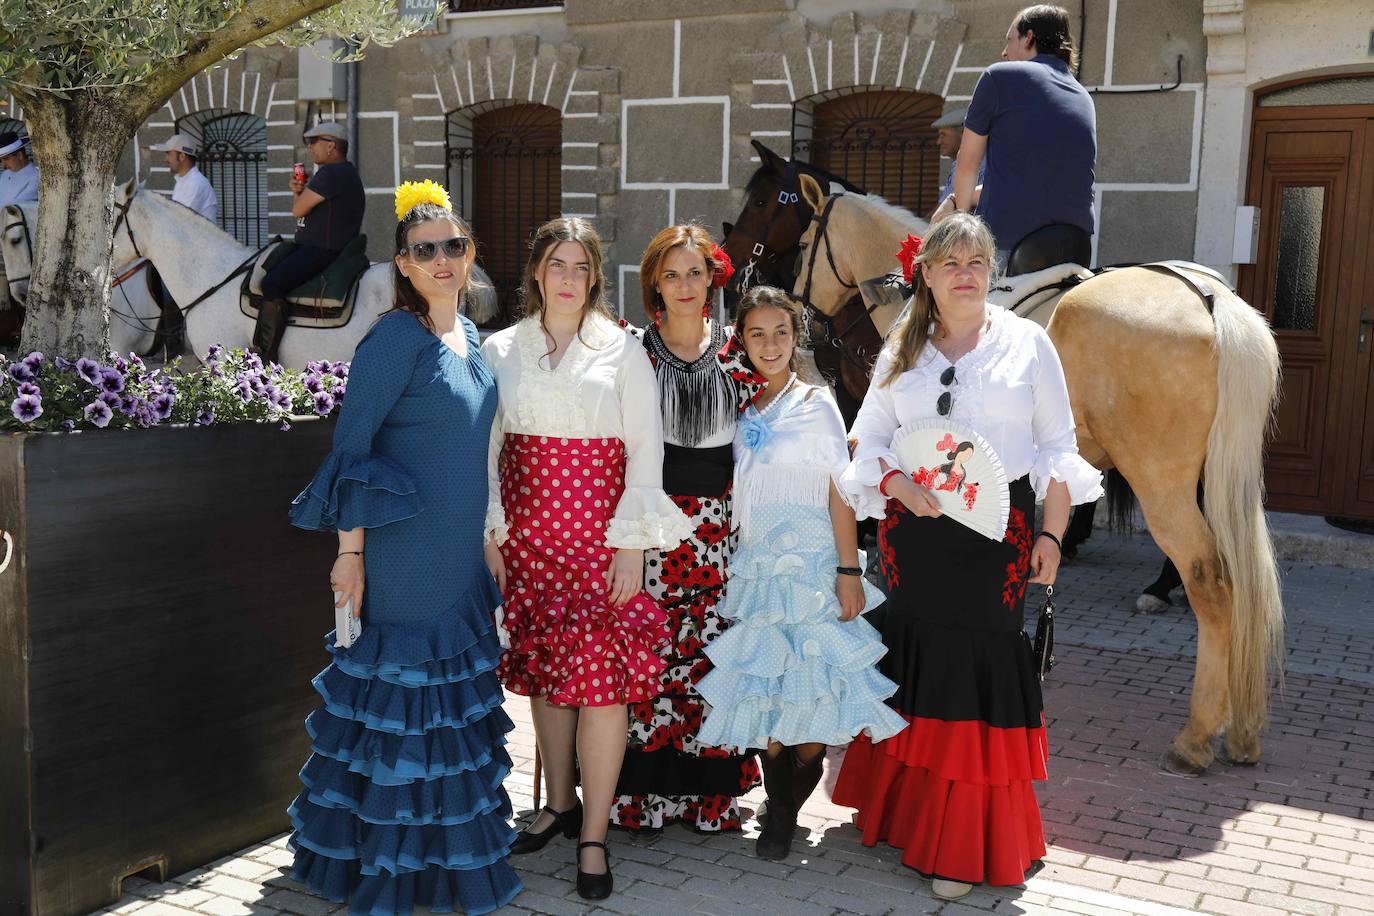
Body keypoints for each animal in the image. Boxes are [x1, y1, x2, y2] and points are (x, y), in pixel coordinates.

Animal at [796, 173, 1286, 774]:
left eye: (802, 244)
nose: (805, 331)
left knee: (1210, 581)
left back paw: (1196, 736)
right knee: (1244, 583)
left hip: (1163, 483)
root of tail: (1213, 300)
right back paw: (1242, 730)